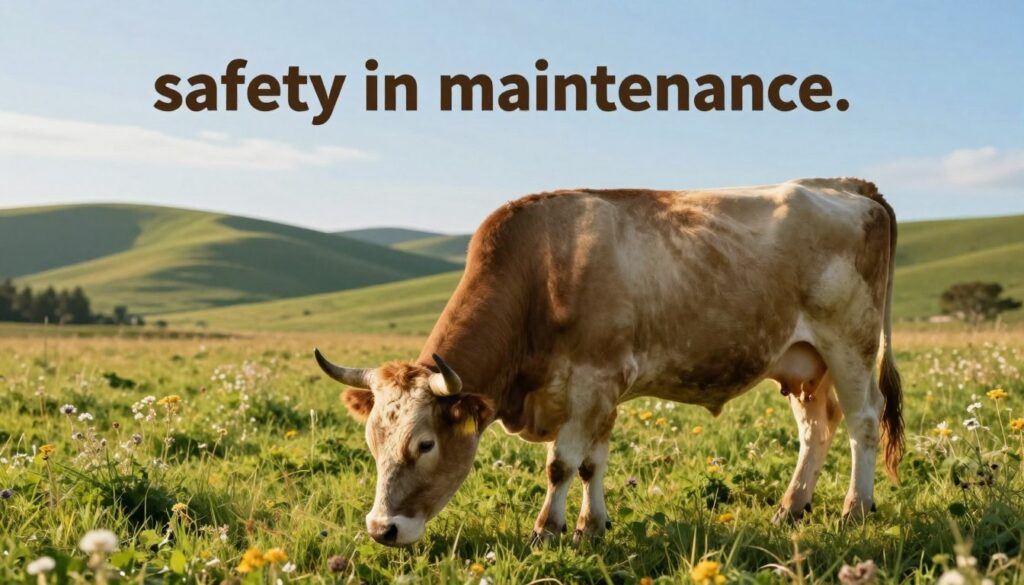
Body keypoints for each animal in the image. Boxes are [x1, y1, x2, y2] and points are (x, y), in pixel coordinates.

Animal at [314, 177, 903, 546]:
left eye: (424, 445)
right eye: (371, 443)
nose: (381, 530)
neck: (542, 272)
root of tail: (849, 186)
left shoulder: (593, 381)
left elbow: (561, 464)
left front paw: (545, 531)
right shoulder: (593, 393)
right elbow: (592, 462)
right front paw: (590, 527)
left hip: (848, 342)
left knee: (862, 421)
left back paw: (854, 510)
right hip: (803, 362)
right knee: (817, 428)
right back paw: (790, 507)